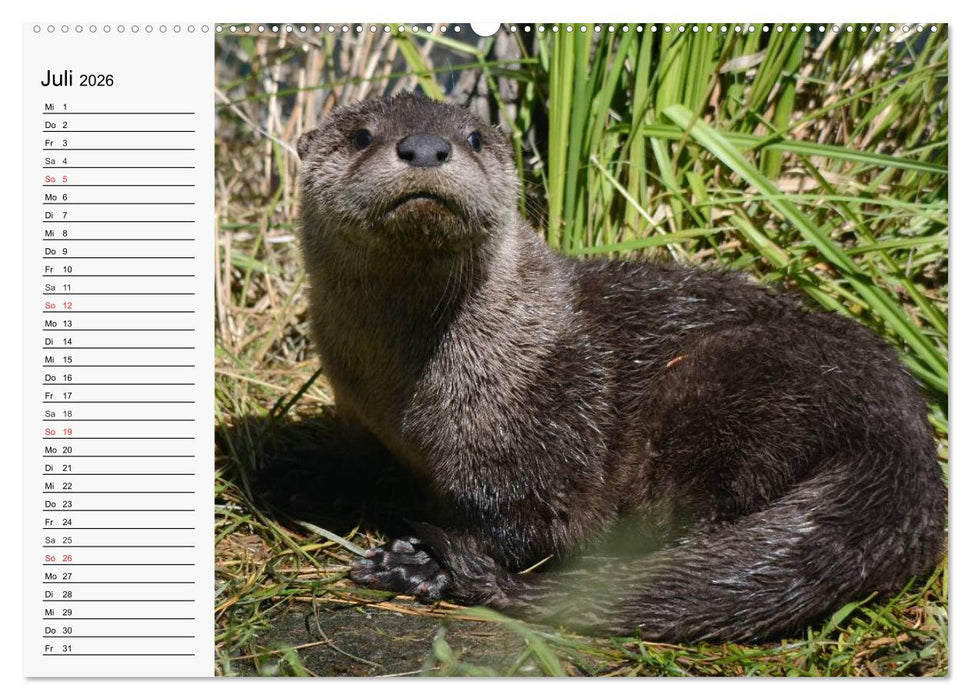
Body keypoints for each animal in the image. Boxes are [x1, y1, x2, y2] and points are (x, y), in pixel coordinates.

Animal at [295, 92, 945, 642]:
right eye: (361, 135)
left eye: (474, 137)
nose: (428, 147)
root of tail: (901, 437)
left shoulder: (543, 426)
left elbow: (532, 524)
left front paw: (420, 562)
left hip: (731, 383)